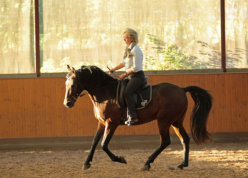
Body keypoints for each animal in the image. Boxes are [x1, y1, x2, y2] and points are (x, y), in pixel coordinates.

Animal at [63, 64, 212, 170]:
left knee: (165, 141)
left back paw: (147, 163)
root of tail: (182, 89)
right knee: (185, 139)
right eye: (66, 84)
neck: (106, 93)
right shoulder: (102, 122)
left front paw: (120, 159)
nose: (67, 103)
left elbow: (104, 144)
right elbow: (94, 142)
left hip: (164, 121)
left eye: (74, 84)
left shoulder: (112, 123)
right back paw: (182, 164)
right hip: (176, 122)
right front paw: (86, 163)